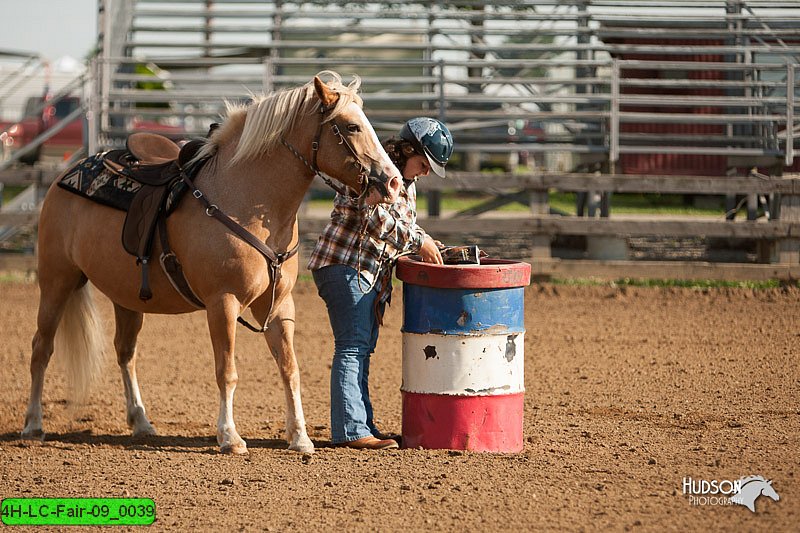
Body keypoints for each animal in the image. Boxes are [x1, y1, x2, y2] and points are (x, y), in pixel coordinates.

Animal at [21, 70, 404, 454]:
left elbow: (290, 369)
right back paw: (33, 425)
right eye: (351, 126)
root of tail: (63, 176)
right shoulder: (223, 302)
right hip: (56, 281)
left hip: (124, 297)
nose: (393, 181)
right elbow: (227, 371)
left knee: (125, 353)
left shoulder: (280, 305)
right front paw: (230, 436)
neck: (245, 199)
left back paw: (141, 422)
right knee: (41, 348)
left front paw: (300, 437)